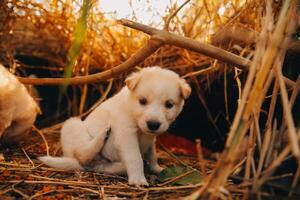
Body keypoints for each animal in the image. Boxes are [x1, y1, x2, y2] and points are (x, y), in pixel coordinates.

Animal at [38, 67, 191, 186]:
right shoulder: (126, 135)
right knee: (82, 154)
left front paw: (157, 168)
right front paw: (138, 180)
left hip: (103, 164)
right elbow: (135, 157)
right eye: (142, 101)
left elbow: (152, 155)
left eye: (169, 104)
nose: (153, 124)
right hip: (72, 125)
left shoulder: (150, 140)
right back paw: (101, 135)